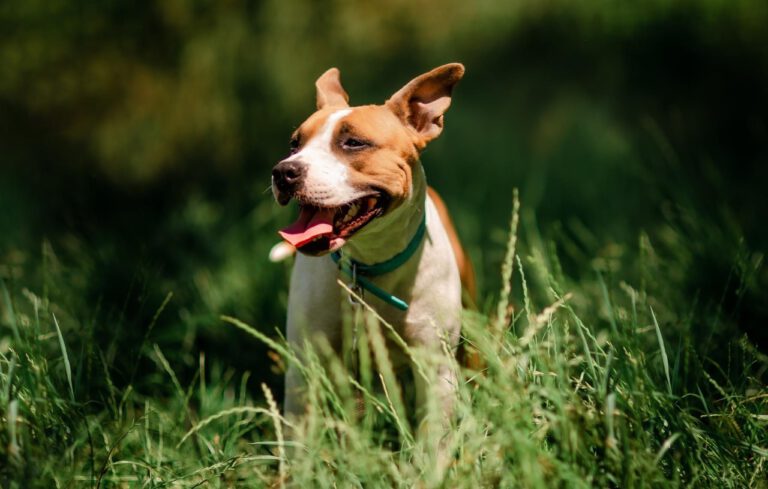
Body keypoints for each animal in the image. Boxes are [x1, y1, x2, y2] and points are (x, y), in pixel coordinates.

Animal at [270, 63, 474, 428]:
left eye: (353, 143)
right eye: (295, 144)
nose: (283, 171)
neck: (370, 261)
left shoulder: (435, 367)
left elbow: (435, 433)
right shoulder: (305, 365)